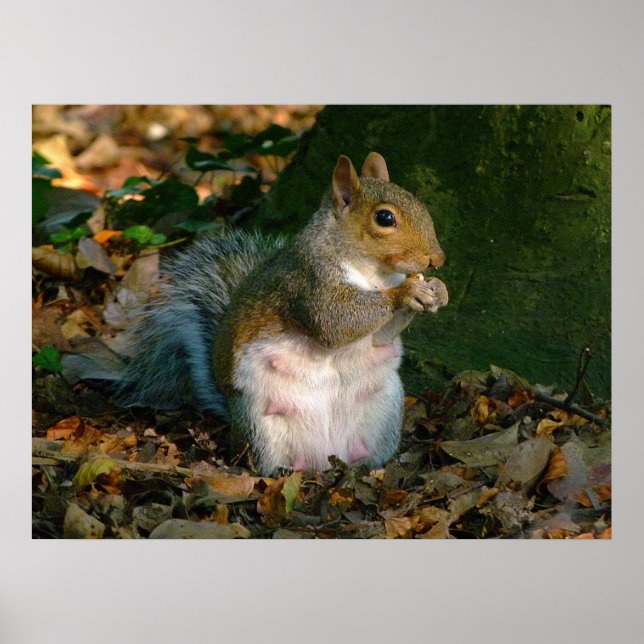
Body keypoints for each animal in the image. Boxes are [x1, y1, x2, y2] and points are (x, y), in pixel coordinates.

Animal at [110, 152, 448, 475]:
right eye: (384, 218)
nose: (438, 259)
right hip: (260, 423)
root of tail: (325, 456)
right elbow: (335, 322)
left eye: (419, 203)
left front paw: (438, 290)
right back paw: (279, 470)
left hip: (385, 409)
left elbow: (381, 337)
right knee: (260, 461)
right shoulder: (309, 282)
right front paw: (406, 292)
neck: (374, 274)